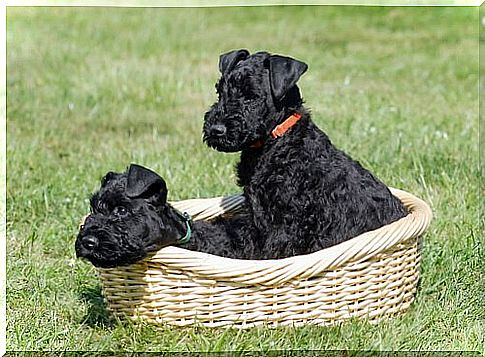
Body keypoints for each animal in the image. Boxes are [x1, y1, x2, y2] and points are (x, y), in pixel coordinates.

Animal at [202, 48, 406, 258]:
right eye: (220, 91)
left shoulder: (284, 225)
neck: (275, 141)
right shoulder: (255, 216)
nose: (216, 130)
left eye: (251, 96)